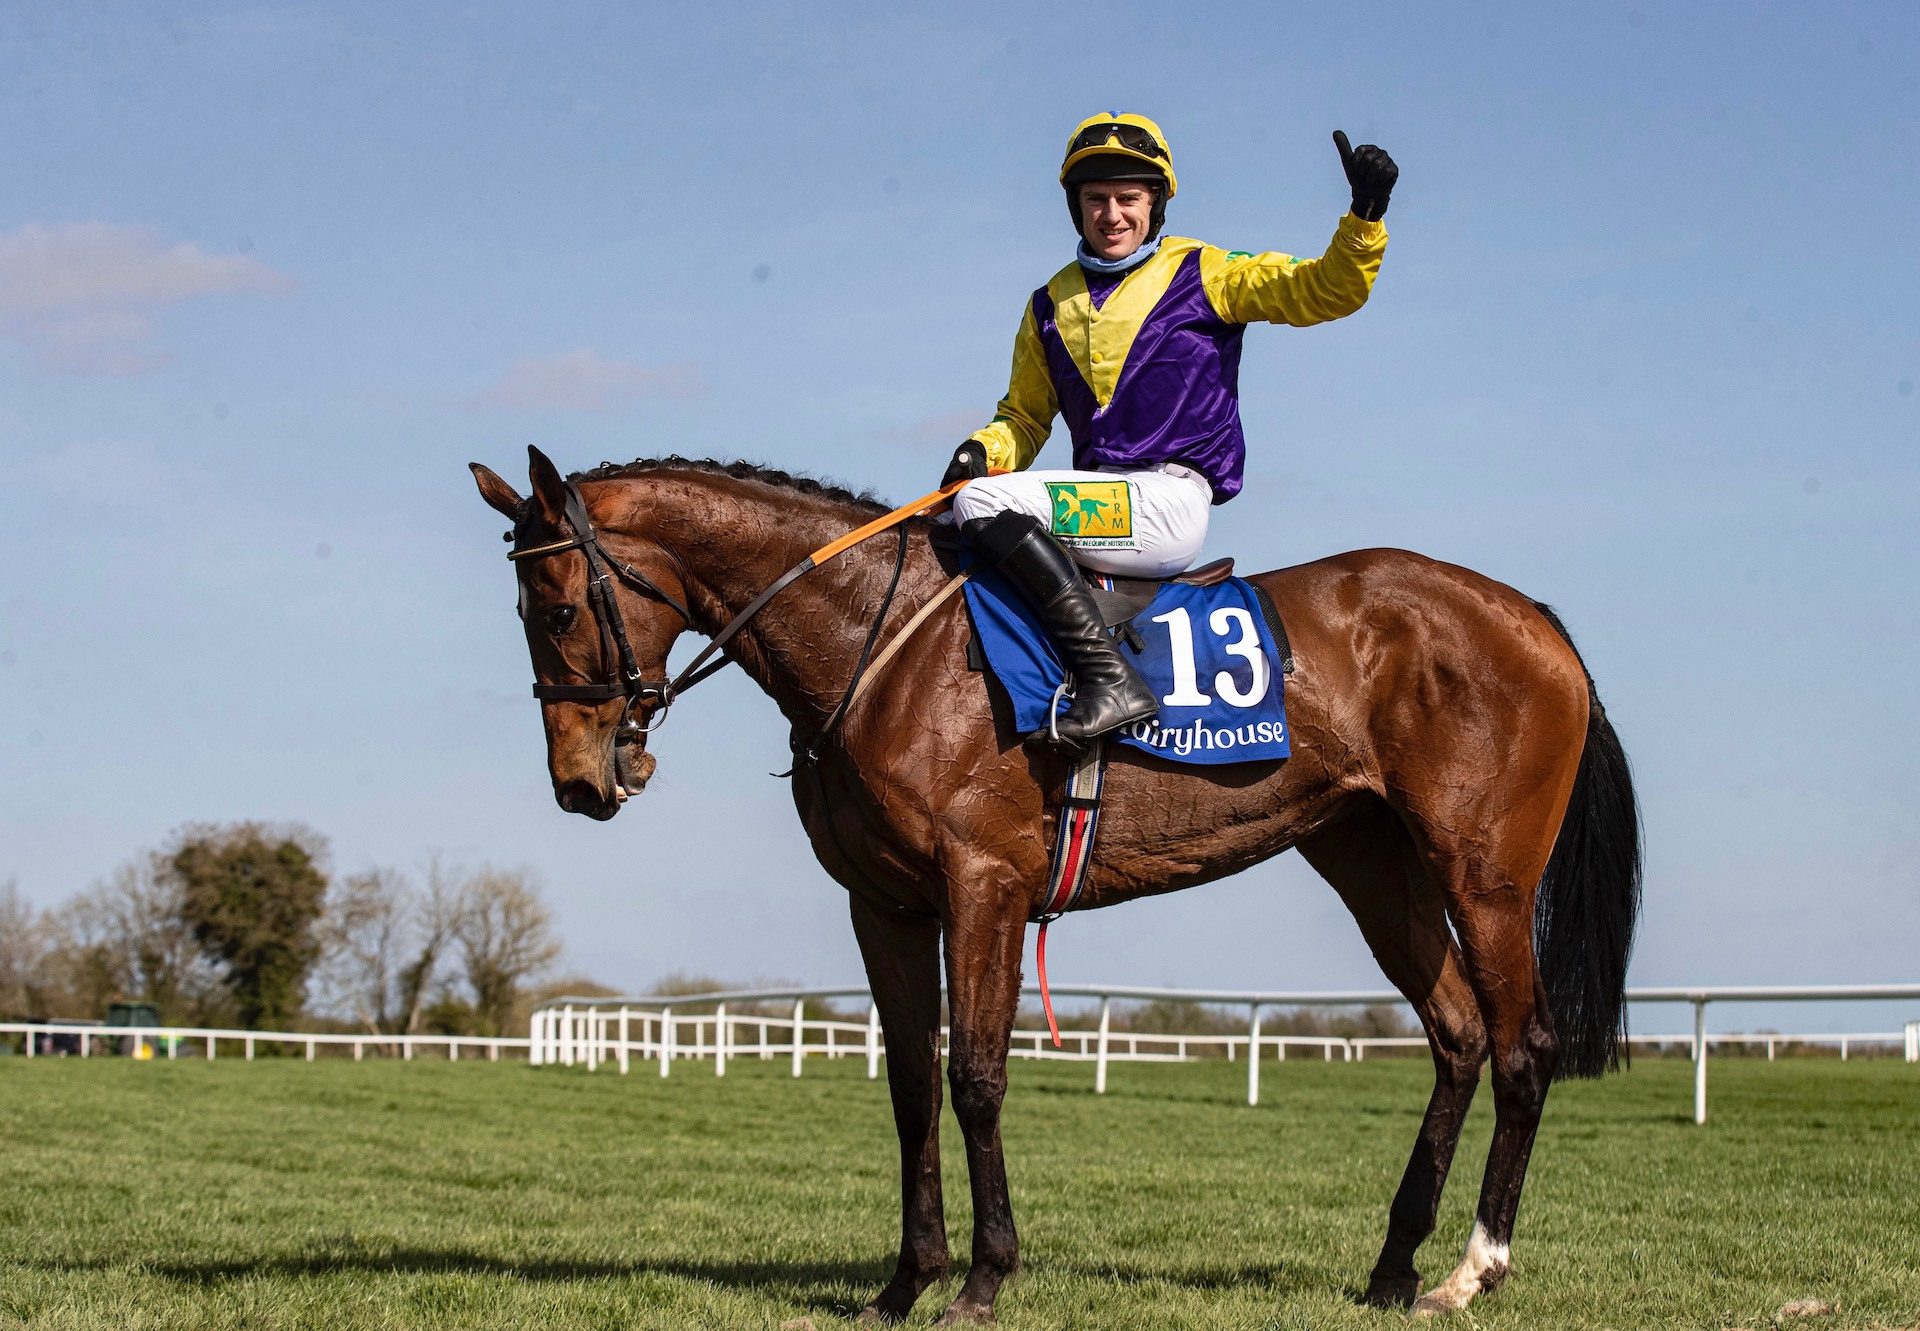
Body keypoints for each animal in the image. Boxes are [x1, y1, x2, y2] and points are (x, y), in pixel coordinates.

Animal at [464, 445, 1635, 1321]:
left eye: (556, 607)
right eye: (524, 610)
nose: (581, 781)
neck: (880, 645)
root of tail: (1531, 614)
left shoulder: (984, 886)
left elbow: (976, 1075)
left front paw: (983, 1278)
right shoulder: (884, 904)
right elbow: (909, 1083)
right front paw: (903, 1282)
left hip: (1485, 872)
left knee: (1523, 1047)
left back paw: (1472, 1269)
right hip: (1370, 859)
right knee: (1457, 1034)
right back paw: (1393, 1266)